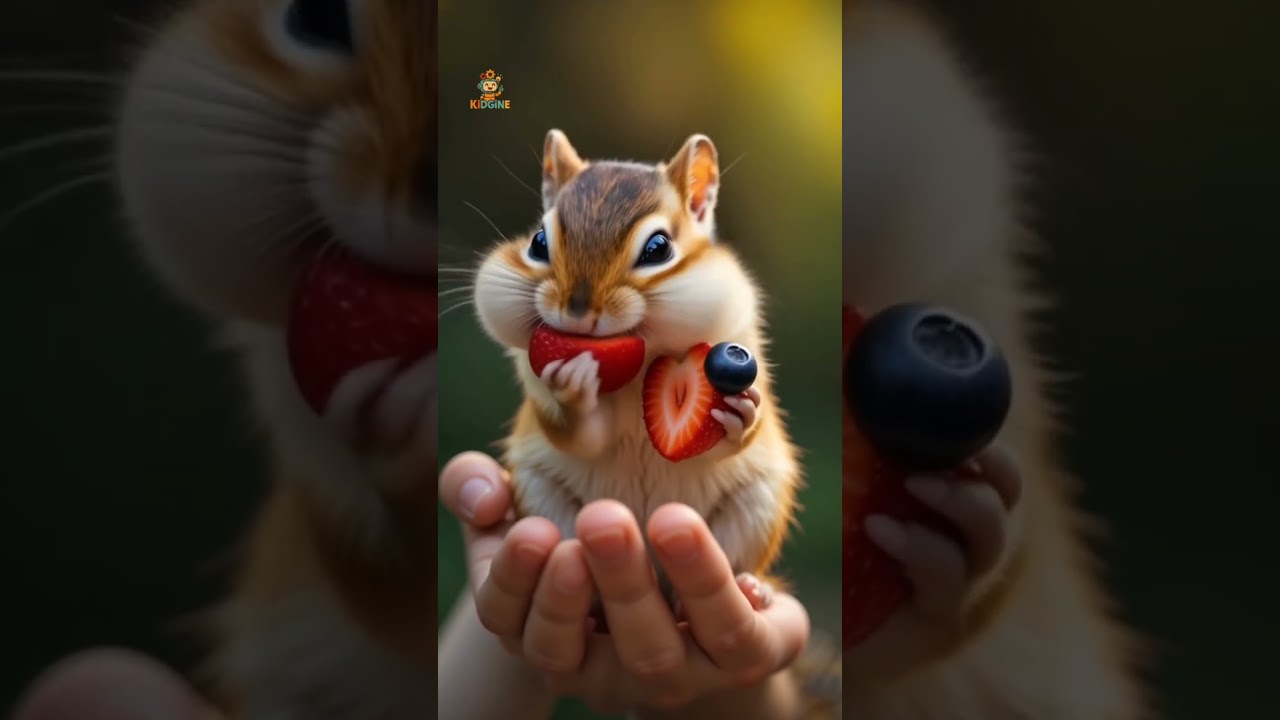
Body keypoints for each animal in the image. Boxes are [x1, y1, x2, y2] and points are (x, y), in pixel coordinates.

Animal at [471, 128, 802, 614]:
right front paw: (573, 389)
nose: (577, 311)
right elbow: (580, 435)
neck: (643, 358)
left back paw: (748, 589)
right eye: (538, 243)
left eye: (658, 249)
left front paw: (742, 415)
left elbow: (731, 440)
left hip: (756, 507)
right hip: (544, 499)